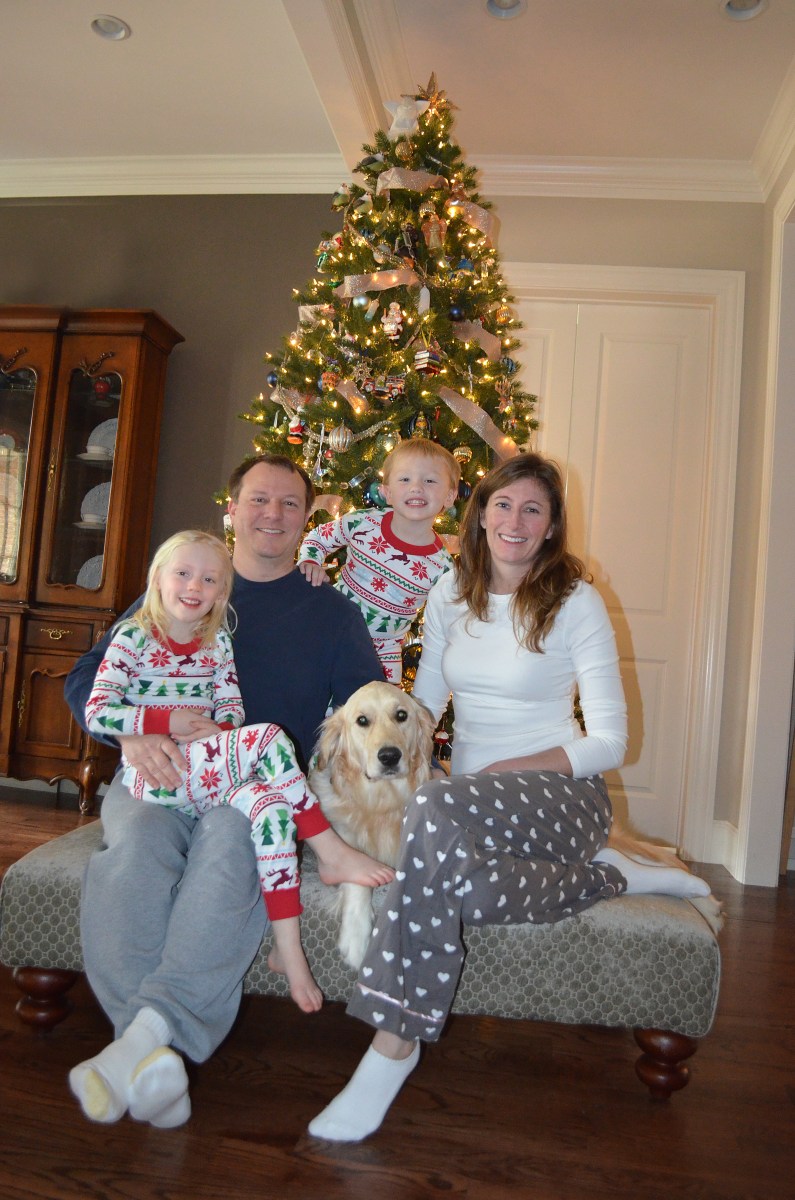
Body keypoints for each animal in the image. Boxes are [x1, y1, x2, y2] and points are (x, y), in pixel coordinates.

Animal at [310, 682, 722, 969]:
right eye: (362, 721)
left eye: (401, 716)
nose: (389, 756)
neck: (384, 804)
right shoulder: (347, 838)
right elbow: (356, 871)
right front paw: (356, 935)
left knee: (649, 860)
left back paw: (704, 898)